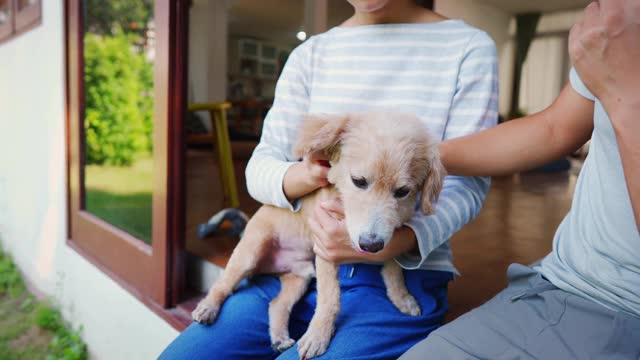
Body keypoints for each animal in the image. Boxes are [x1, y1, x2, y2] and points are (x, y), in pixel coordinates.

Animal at [191, 111, 444, 358]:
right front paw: (318, 335)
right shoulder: (325, 248)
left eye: (403, 192)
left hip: (299, 277)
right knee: (223, 283)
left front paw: (402, 297)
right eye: (358, 181)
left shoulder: (392, 232)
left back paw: (280, 338)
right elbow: (330, 298)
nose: (369, 246)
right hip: (249, 253)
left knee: (276, 304)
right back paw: (207, 308)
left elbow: (393, 268)